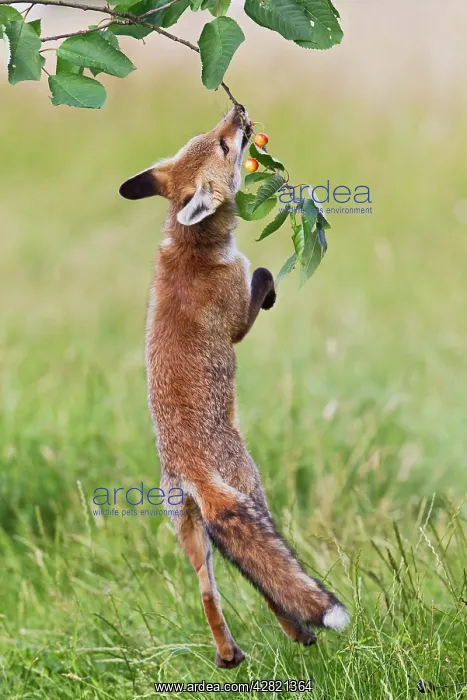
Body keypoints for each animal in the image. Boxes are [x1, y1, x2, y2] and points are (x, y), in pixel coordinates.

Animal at [119, 104, 349, 668]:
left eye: (207, 135)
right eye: (224, 145)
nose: (239, 110)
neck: (192, 248)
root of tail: (193, 469)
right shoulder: (239, 322)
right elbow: (262, 274)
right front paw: (269, 289)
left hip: (190, 535)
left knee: (209, 593)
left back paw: (231, 654)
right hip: (255, 492)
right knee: (269, 586)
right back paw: (300, 634)